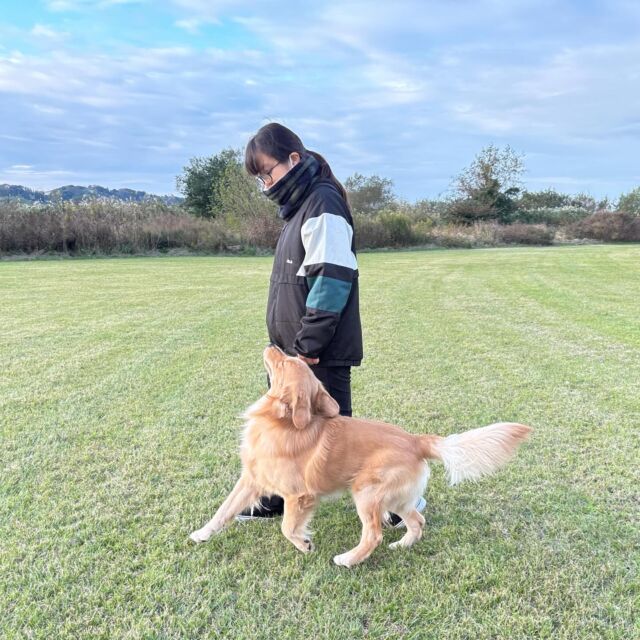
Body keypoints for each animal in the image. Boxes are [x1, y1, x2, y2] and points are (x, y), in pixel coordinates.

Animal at [189, 344, 528, 564]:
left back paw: (349, 559)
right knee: (417, 520)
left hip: (366, 492)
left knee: (374, 534)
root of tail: (416, 440)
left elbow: (287, 527)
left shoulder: (299, 495)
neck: (281, 422)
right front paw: (202, 534)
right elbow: (223, 510)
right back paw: (402, 545)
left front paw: (304, 543)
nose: (274, 344)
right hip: (395, 499)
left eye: (286, 362)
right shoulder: (250, 479)